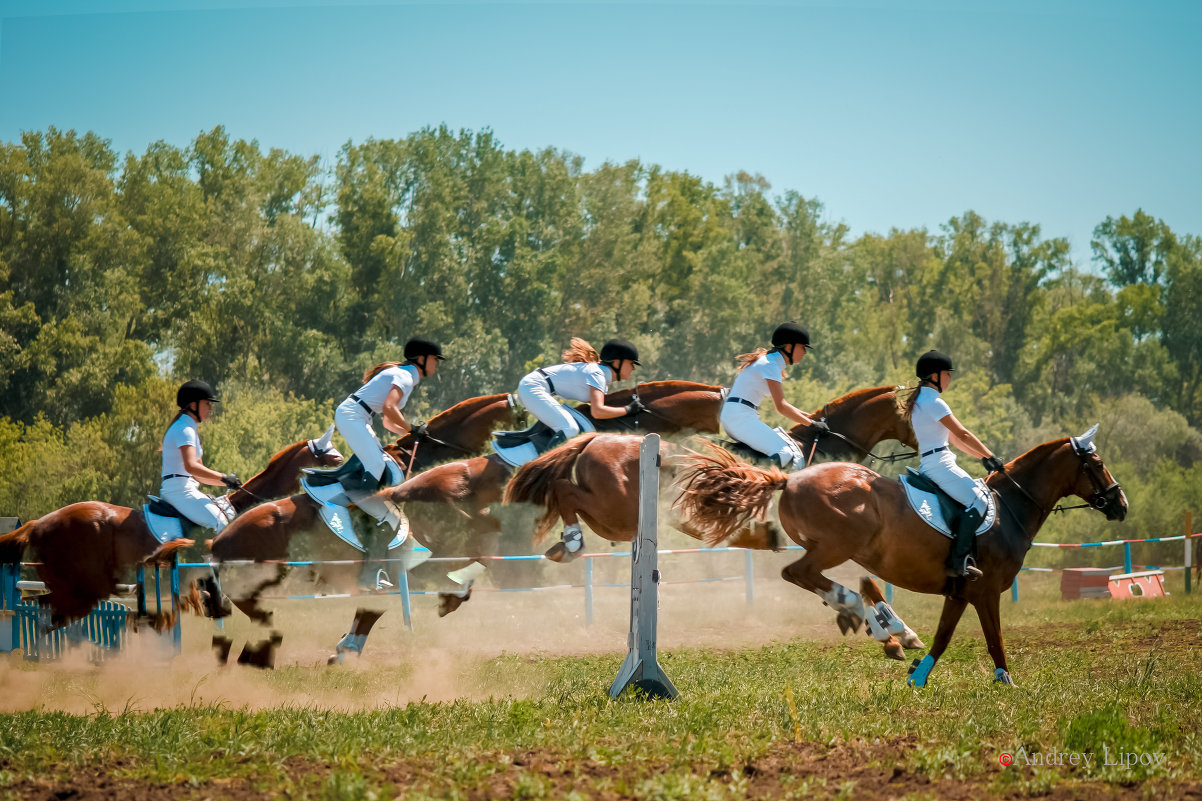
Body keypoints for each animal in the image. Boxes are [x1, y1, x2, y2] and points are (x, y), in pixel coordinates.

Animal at [0, 430, 343, 625]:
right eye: (325, 451)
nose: (342, 459)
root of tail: (40, 523)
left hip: (66, 586)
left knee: (38, 609)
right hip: (79, 584)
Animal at [677, 428, 1125, 683]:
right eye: (1098, 463)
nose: (1120, 505)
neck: (1009, 507)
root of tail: (791, 479)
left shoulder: (960, 593)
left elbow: (943, 637)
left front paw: (918, 674)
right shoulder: (985, 592)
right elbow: (992, 639)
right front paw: (1006, 682)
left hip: (832, 548)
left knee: (813, 578)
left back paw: (884, 627)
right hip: (838, 545)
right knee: (800, 574)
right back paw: (863, 614)